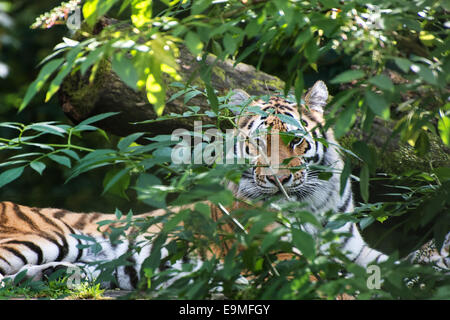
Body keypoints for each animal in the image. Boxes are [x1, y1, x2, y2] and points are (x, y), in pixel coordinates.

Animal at [0, 80, 446, 290]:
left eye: (296, 140)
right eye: (258, 143)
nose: (279, 180)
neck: (313, 202)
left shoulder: (356, 249)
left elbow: (398, 268)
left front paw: (433, 262)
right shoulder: (282, 256)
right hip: (39, 237)